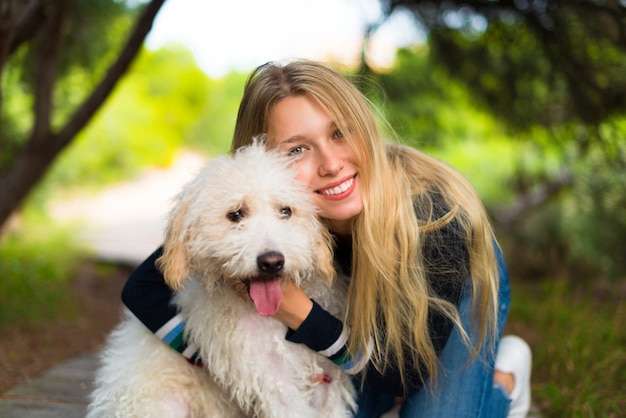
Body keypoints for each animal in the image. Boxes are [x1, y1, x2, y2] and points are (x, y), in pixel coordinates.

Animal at [86, 143, 356, 418]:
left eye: (286, 211)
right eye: (235, 214)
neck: (273, 321)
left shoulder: (326, 382)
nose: (271, 262)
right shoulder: (274, 383)